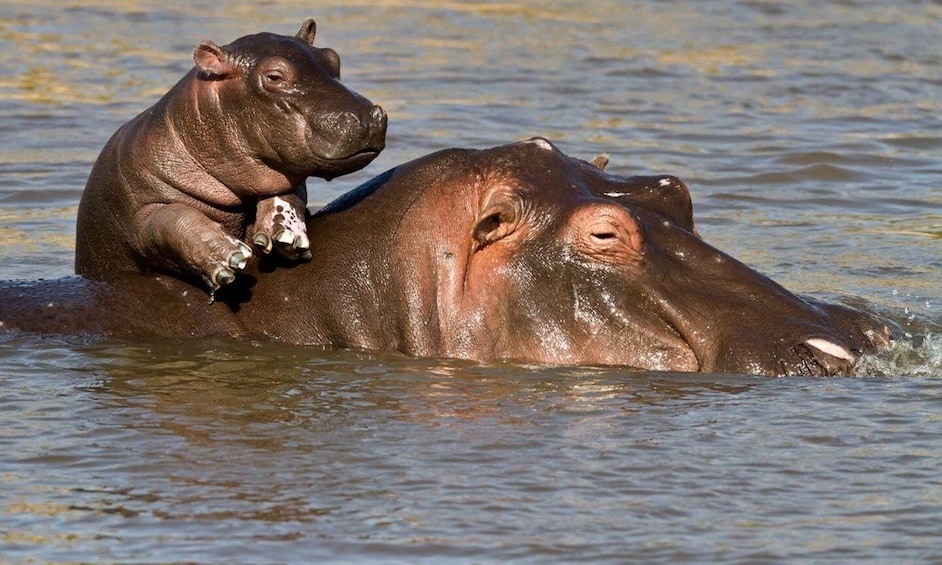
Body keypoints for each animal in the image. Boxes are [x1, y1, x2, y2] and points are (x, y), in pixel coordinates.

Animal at [74, 17, 388, 290]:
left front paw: (286, 233)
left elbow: (287, 192)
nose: (366, 117)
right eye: (274, 76)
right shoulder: (139, 216)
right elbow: (172, 219)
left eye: (333, 57)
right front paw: (228, 256)